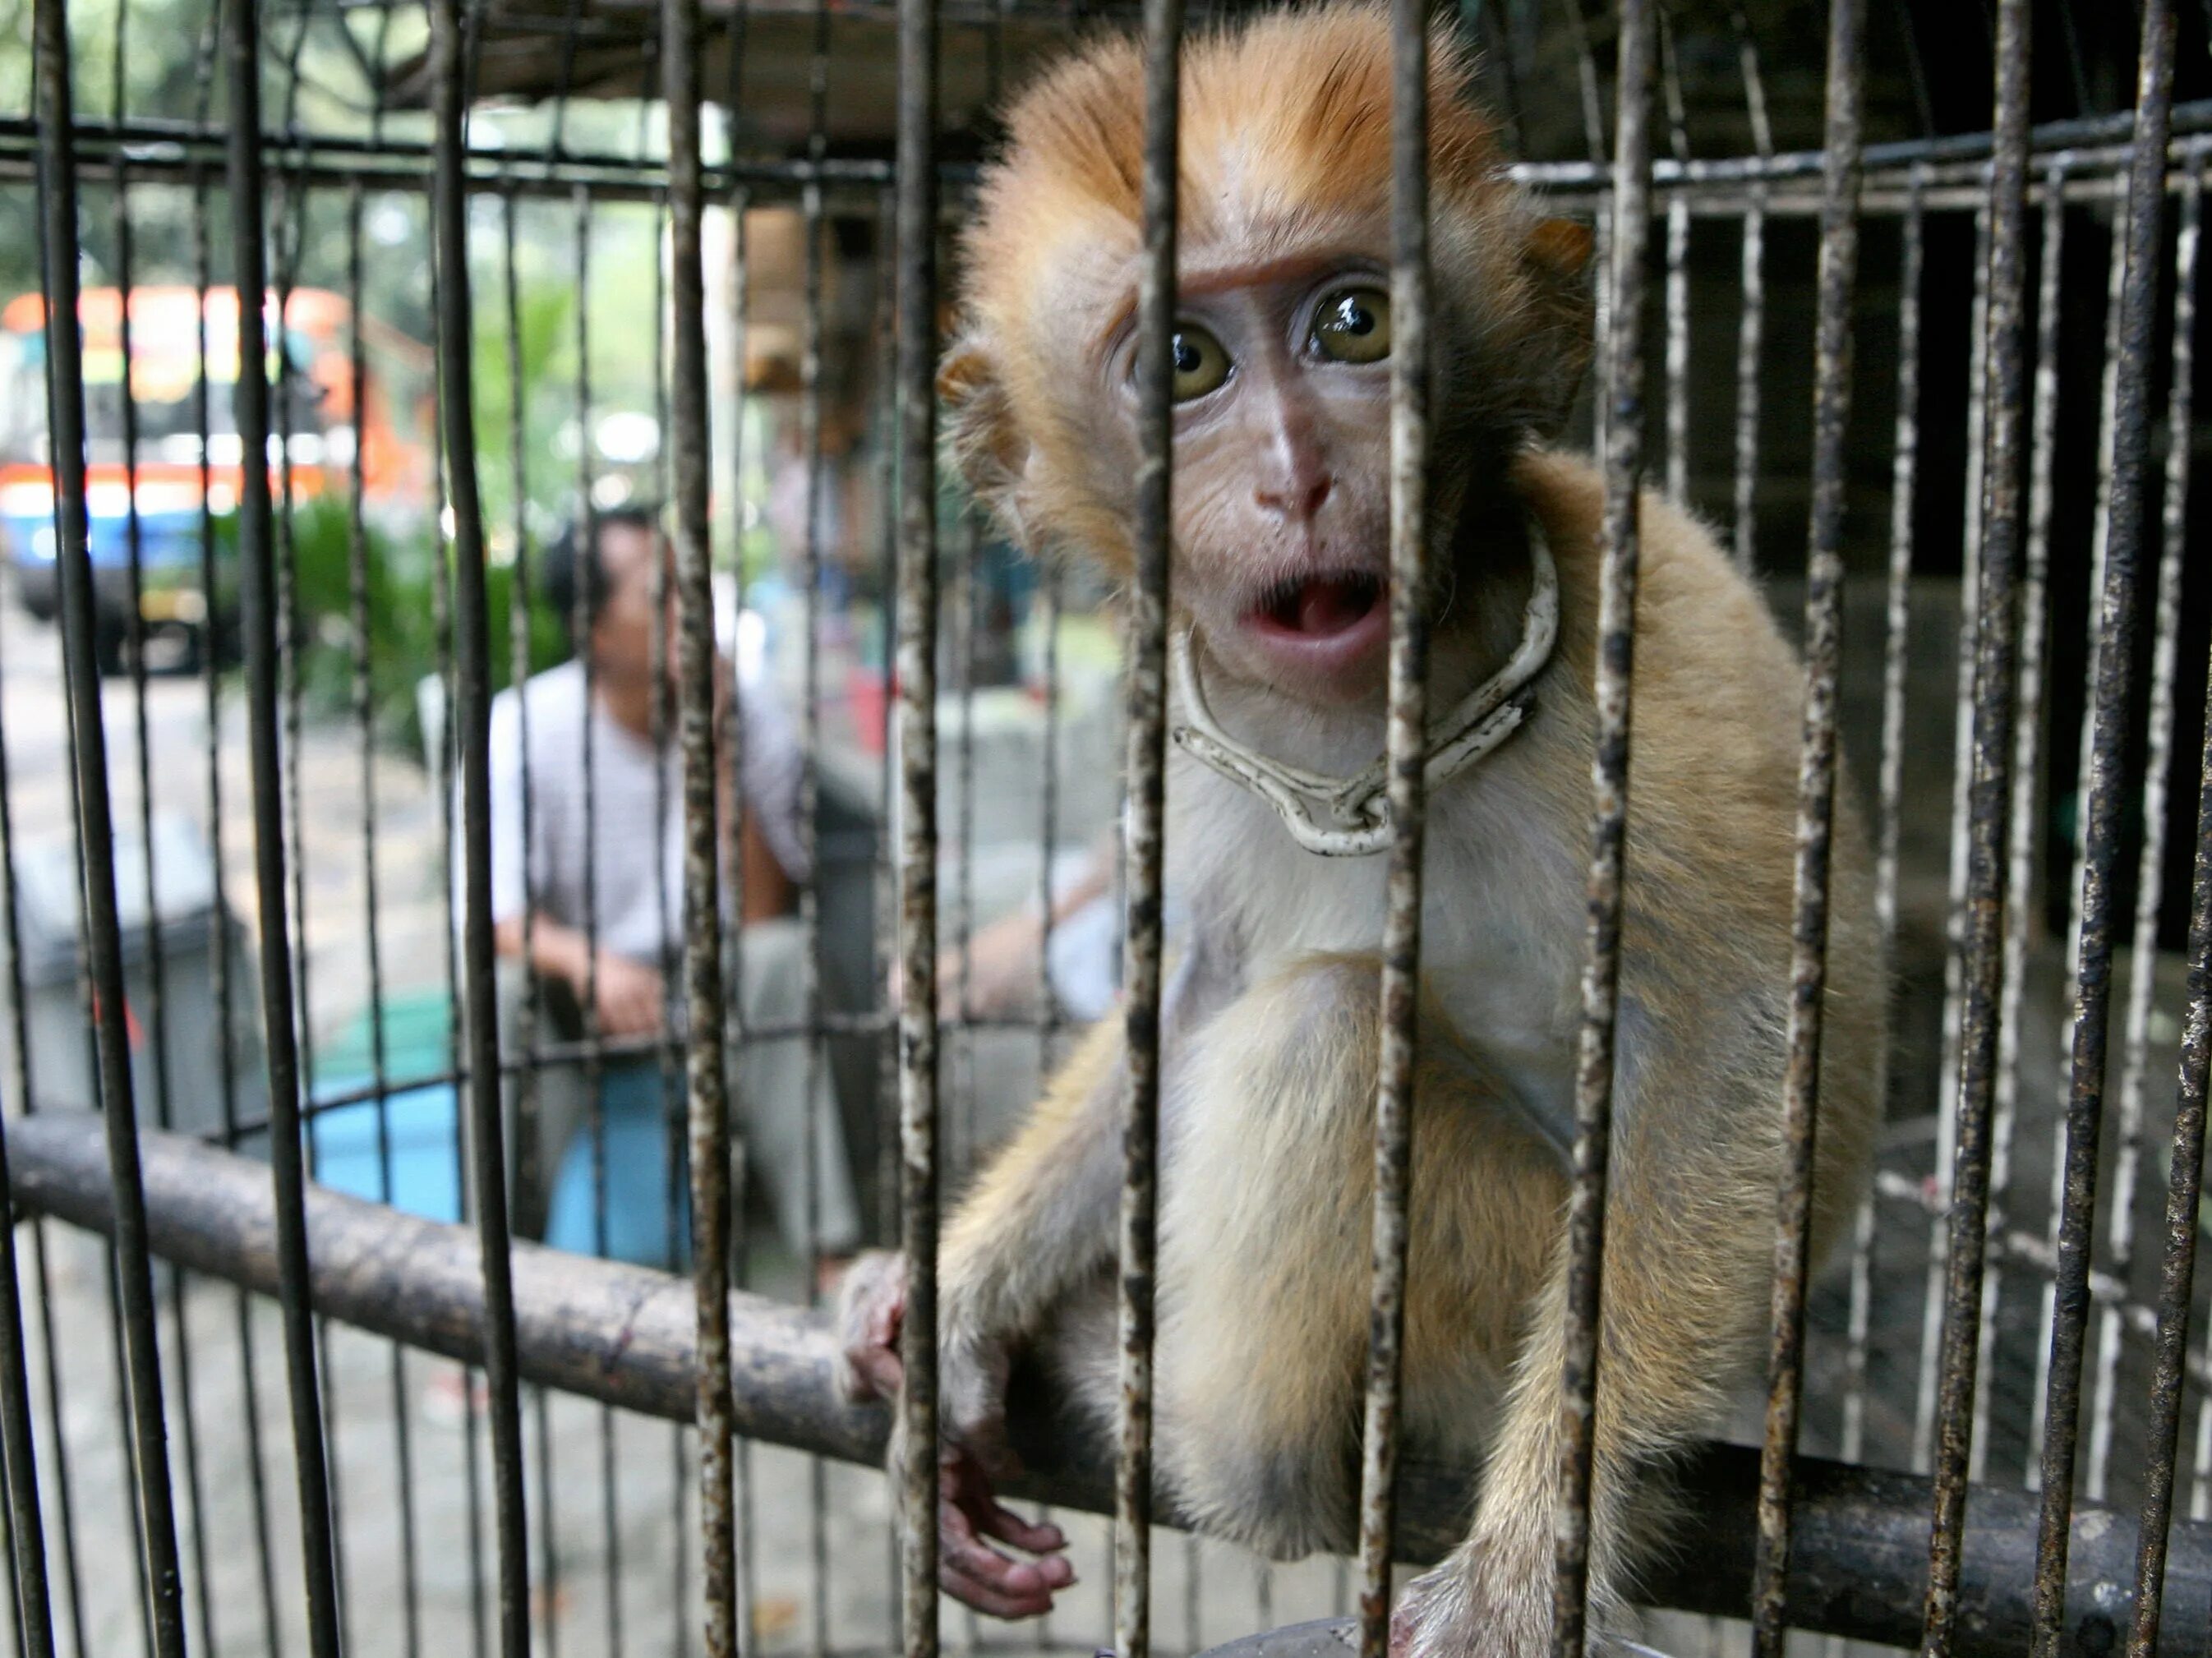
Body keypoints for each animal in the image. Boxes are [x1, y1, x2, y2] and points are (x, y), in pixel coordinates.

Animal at [832, 6, 1884, 1653]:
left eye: (1354, 326)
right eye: (1185, 360)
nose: (1298, 473)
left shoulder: (1658, 642)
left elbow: (1743, 1043)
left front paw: (1531, 1555)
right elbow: (1185, 990)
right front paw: (958, 1285)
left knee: (1324, 1032)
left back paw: (1217, 1442)